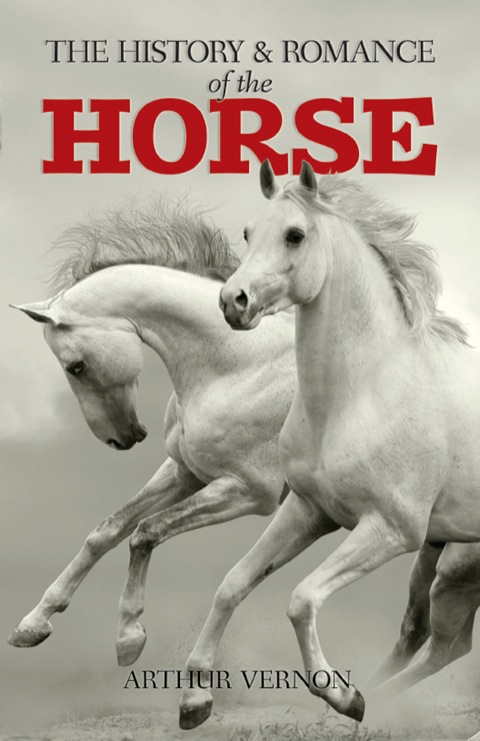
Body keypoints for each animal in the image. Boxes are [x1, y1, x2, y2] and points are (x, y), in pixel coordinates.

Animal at [8, 200, 296, 670]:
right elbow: (107, 530)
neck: (241, 365)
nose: (121, 438)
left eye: (76, 366)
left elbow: (145, 532)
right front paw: (34, 622)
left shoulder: (249, 492)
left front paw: (128, 636)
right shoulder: (186, 473)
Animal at [176, 160, 480, 728]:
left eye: (295, 234)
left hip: (452, 567)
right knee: (434, 641)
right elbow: (233, 583)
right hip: (446, 567)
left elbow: (300, 599)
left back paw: (376, 701)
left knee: (443, 645)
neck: (359, 395)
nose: (233, 301)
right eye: (248, 232)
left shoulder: (389, 530)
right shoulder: (308, 510)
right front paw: (195, 700)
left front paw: (343, 696)